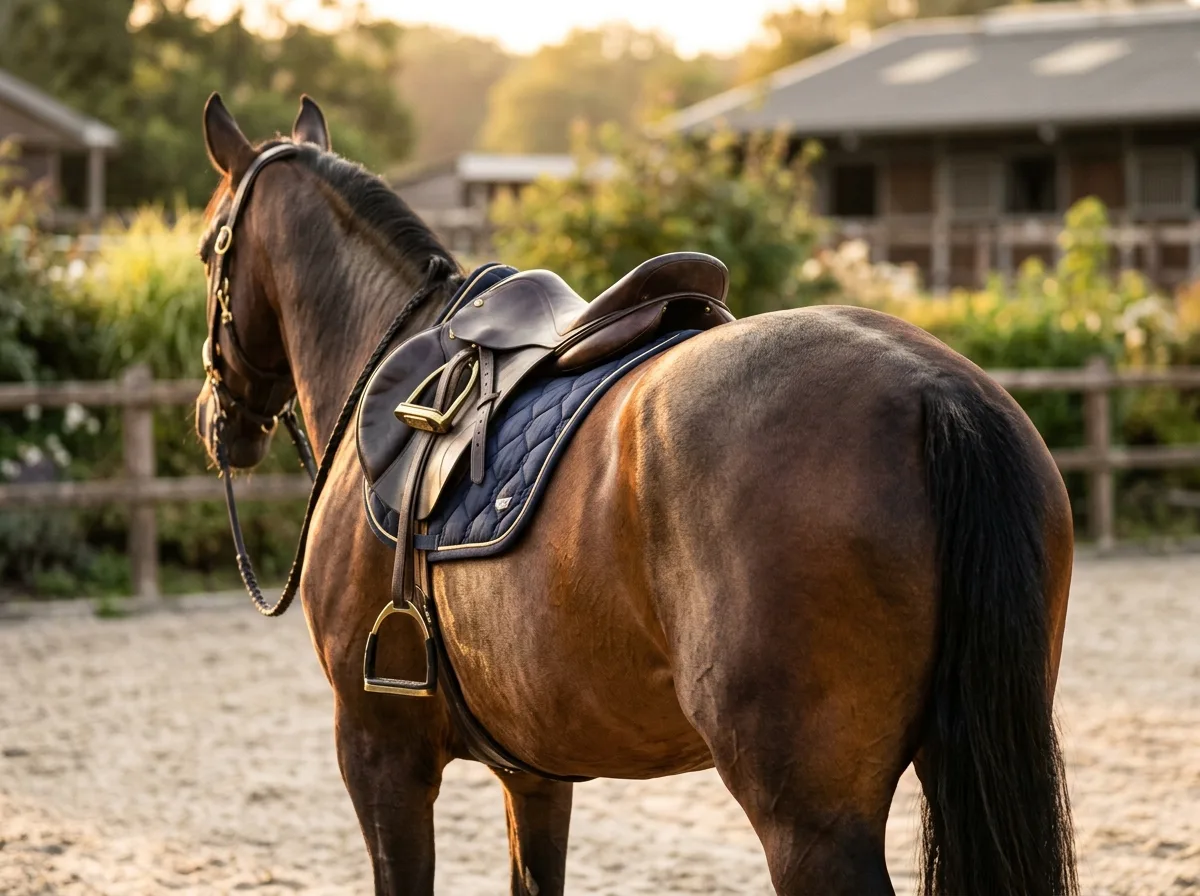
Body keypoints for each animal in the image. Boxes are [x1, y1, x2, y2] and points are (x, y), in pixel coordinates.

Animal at [194, 93, 1077, 896]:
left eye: (207, 250)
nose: (215, 421)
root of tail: (932, 389)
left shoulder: (381, 756)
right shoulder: (535, 773)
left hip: (811, 822)